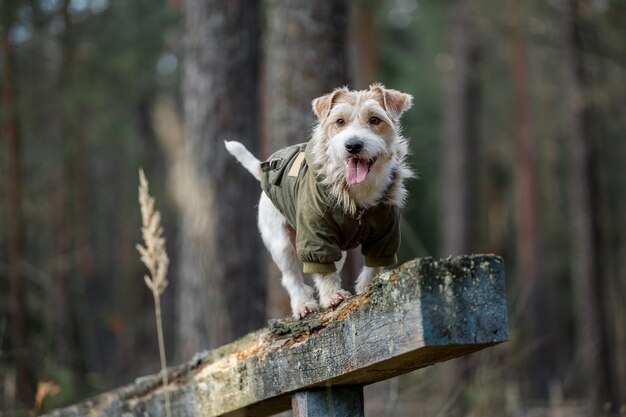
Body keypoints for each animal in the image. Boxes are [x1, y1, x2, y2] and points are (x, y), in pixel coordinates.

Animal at [223, 83, 410, 318]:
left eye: (375, 119)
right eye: (339, 121)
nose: (353, 145)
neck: (355, 193)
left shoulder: (385, 233)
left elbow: (374, 262)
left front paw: (366, 286)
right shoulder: (315, 234)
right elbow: (321, 266)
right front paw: (332, 296)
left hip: (339, 248)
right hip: (281, 242)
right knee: (292, 276)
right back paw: (303, 304)